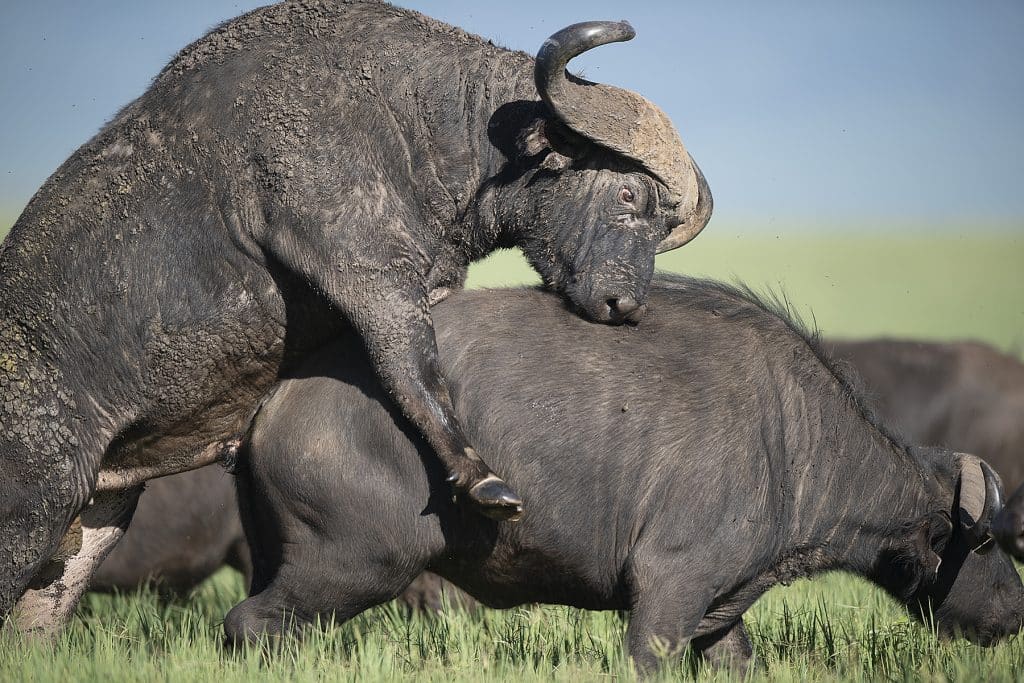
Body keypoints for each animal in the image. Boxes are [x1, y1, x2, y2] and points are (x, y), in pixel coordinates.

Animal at [0, 0, 712, 634]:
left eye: (662, 224)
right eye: (628, 194)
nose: (626, 305)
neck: (415, 120)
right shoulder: (370, 271)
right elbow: (412, 366)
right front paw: (482, 481)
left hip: (92, 524)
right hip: (33, 503)